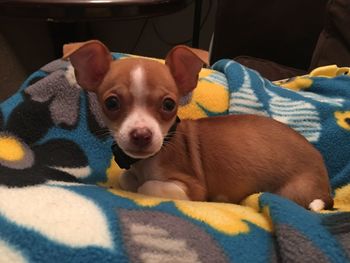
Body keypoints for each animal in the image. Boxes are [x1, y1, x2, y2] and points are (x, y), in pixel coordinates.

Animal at [63, 39, 334, 212]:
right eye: (111, 103)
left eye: (169, 104)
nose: (141, 135)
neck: (148, 161)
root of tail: (325, 184)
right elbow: (127, 178)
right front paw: (132, 178)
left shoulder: (192, 188)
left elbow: (146, 185)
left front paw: (142, 185)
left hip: (291, 191)